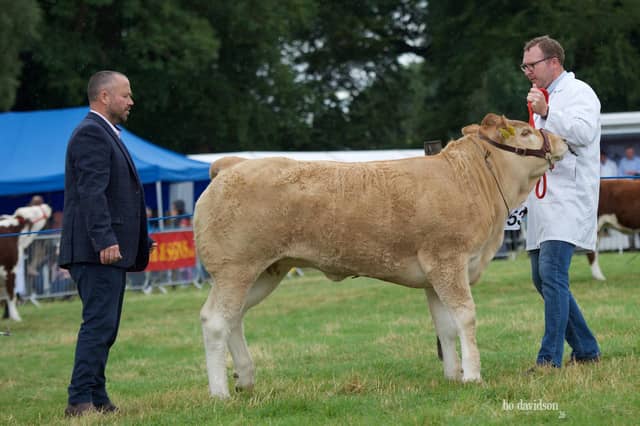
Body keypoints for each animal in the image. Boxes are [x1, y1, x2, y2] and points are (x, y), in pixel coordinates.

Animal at [193, 113, 569, 398]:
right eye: (525, 132)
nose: (563, 141)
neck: (472, 181)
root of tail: (232, 165)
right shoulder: (448, 260)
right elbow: (465, 317)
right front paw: (473, 375)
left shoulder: (434, 275)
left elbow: (445, 327)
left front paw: (452, 375)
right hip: (235, 269)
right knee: (215, 321)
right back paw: (220, 393)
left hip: (266, 270)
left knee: (235, 318)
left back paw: (245, 378)